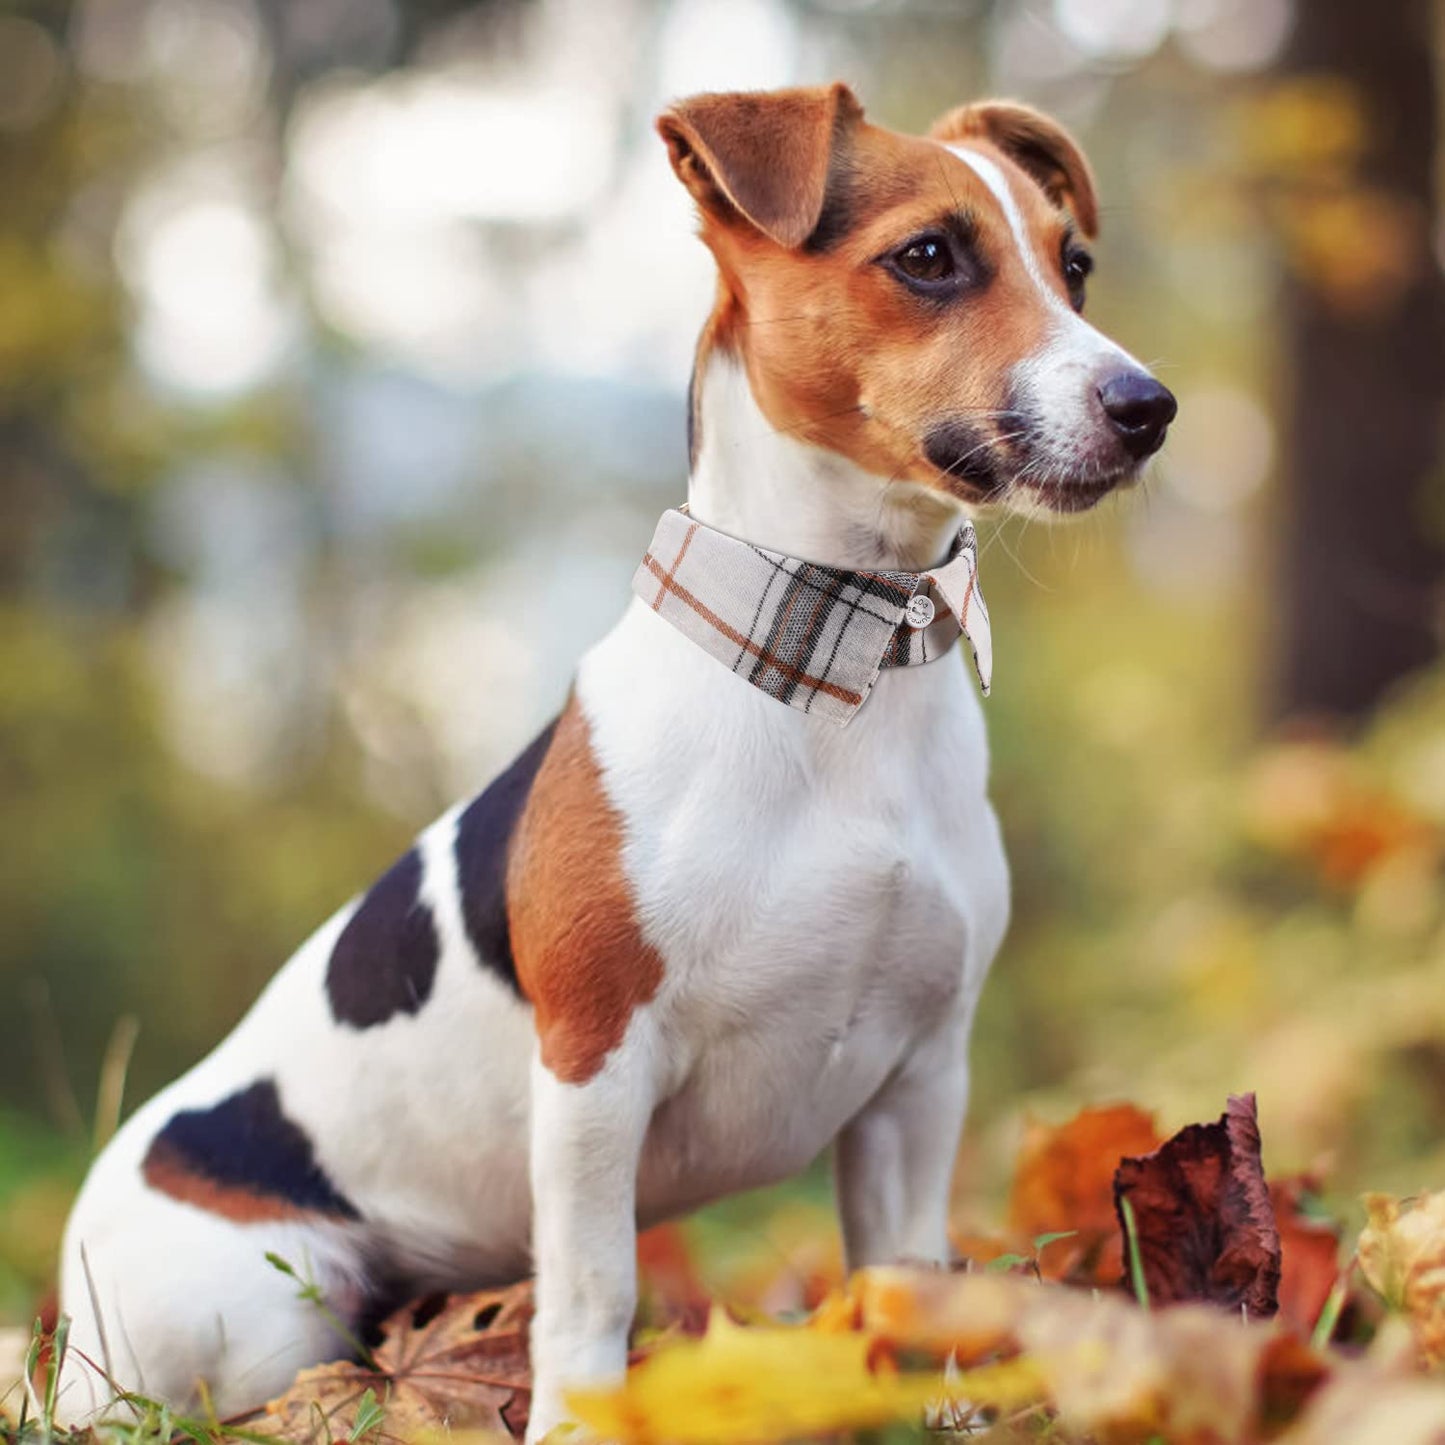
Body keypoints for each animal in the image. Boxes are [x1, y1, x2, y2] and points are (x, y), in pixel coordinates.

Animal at [59, 84, 1173, 1439]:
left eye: (1074, 266)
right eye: (926, 257)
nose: (1148, 406)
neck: (842, 666)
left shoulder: (918, 1079)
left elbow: (908, 1274)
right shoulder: (595, 1066)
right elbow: (592, 1291)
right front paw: (579, 1420)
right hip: (256, 1313)